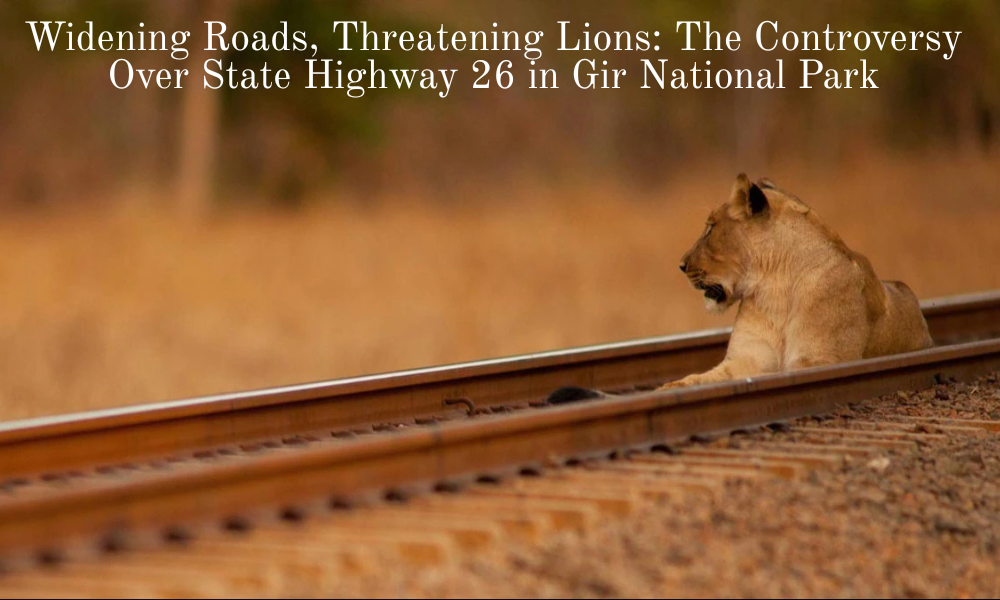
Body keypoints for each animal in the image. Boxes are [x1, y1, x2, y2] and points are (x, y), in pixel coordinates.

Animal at [660, 172, 934, 389]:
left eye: (710, 228)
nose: (681, 265)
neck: (774, 285)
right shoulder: (746, 358)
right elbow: (697, 379)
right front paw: (667, 390)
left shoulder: (820, 360)